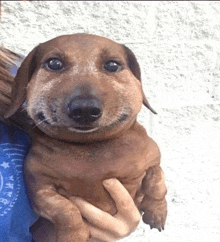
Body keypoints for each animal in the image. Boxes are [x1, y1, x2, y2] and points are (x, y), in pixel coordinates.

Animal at [4, 33, 167, 240]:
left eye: (112, 65)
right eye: (54, 63)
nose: (85, 109)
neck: (90, 145)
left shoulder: (153, 160)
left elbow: (157, 182)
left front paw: (157, 212)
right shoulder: (40, 189)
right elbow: (65, 209)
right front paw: (74, 235)